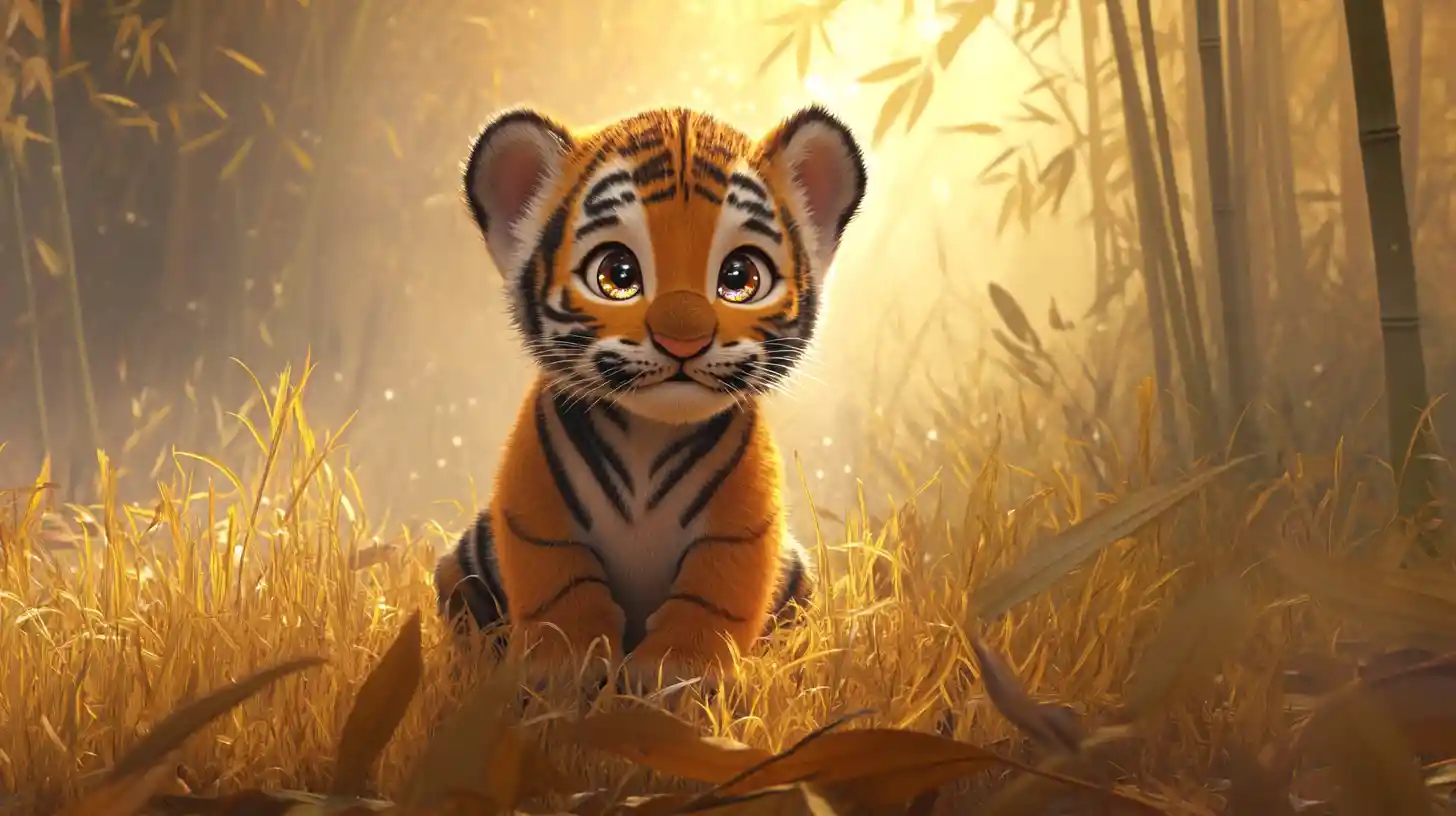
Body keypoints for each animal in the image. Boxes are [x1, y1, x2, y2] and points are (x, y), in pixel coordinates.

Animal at [433, 103, 868, 688]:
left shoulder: (741, 530)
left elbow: (710, 600)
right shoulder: (538, 517)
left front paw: (677, 678)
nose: (683, 339)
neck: (648, 433)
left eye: (740, 277)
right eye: (617, 275)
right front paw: (564, 675)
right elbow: (563, 593)